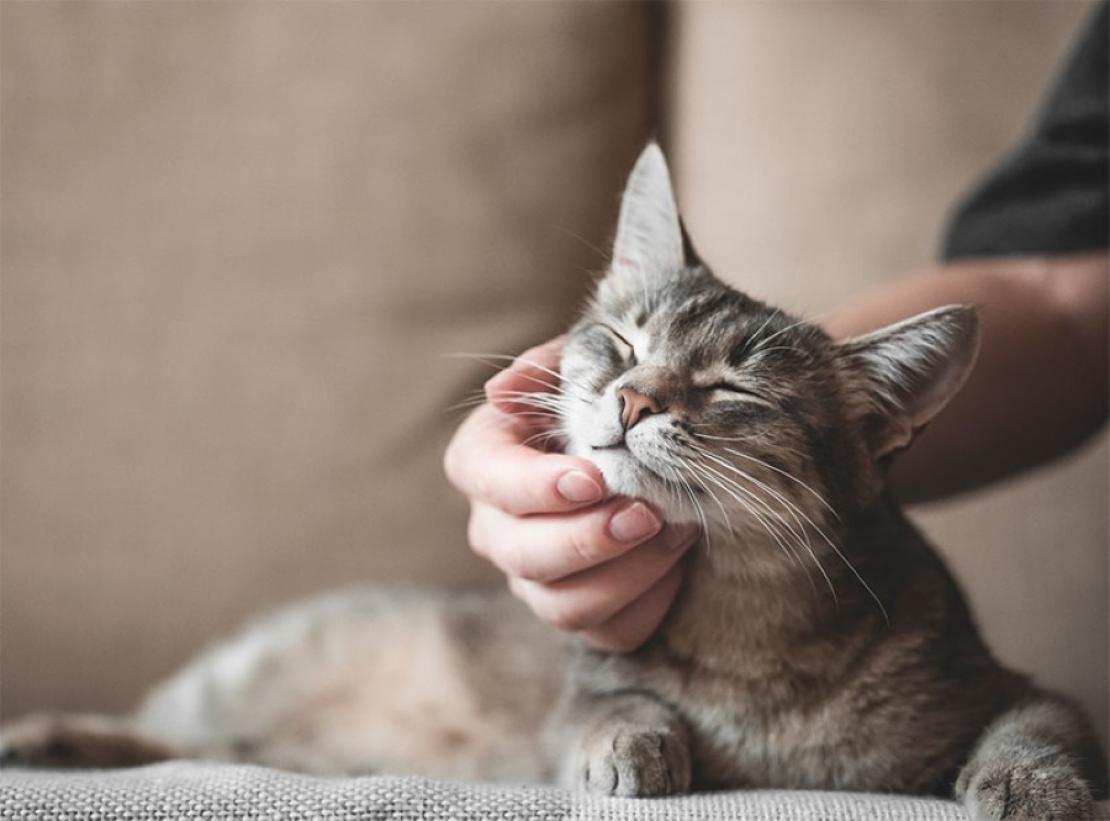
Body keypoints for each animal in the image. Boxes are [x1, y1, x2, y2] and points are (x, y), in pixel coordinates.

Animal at [4, 144, 1105, 816]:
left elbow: (1040, 727)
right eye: (623, 341)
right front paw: (633, 741)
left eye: (731, 386)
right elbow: (608, 706)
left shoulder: (1017, 687)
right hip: (238, 679)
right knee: (161, 725)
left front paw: (1033, 785)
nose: (632, 400)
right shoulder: (578, 692)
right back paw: (44, 734)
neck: (745, 631)